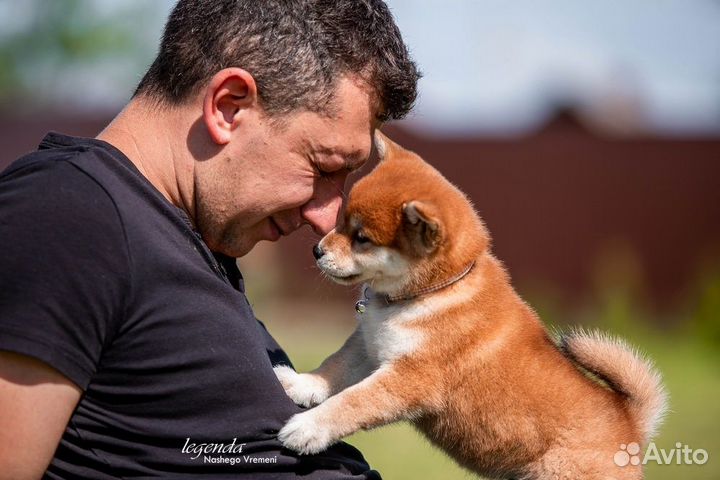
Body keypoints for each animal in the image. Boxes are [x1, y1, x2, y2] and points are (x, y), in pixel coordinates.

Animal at [272, 132, 668, 480]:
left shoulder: (410, 378)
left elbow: (353, 402)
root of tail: (629, 425)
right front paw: (300, 384)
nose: (317, 250)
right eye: (341, 222)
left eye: (362, 238)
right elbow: (335, 367)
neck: (433, 291)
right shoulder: (368, 349)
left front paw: (308, 428)